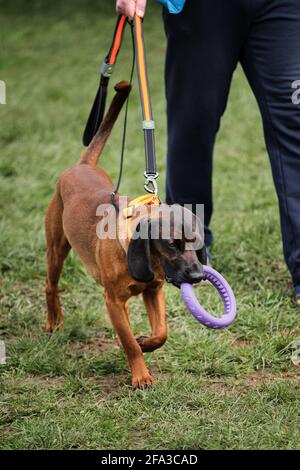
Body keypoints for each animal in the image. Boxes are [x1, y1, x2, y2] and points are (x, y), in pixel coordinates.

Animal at [45, 81, 206, 390]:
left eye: (197, 242)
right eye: (171, 244)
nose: (197, 276)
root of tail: (82, 165)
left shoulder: (153, 292)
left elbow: (161, 332)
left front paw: (146, 343)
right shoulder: (112, 300)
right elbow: (130, 342)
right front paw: (140, 375)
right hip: (56, 250)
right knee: (51, 286)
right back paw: (52, 322)